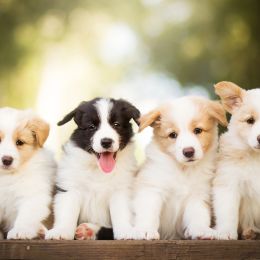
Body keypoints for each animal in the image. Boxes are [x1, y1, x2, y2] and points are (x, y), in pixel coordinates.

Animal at [0, 106, 55, 239]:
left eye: (19, 142)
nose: (7, 160)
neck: (6, 176)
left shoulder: (33, 195)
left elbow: (26, 216)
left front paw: (20, 230)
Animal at [45, 98, 141, 241]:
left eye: (116, 124)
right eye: (91, 127)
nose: (106, 142)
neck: (98, 169)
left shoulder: (122, 189)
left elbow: (121, 212)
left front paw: (126, 231)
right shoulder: (70, 187)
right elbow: (67, 212)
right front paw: (61, 231)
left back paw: (89, 230)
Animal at [131, 96, 226, 240]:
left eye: (198, 130)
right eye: (172, 135)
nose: (188, 152)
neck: (182, 169)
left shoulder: (198, 194)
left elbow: (199, 215)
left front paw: (201, 230)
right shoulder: (151, 189)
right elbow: (148, 213)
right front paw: (146, 230)